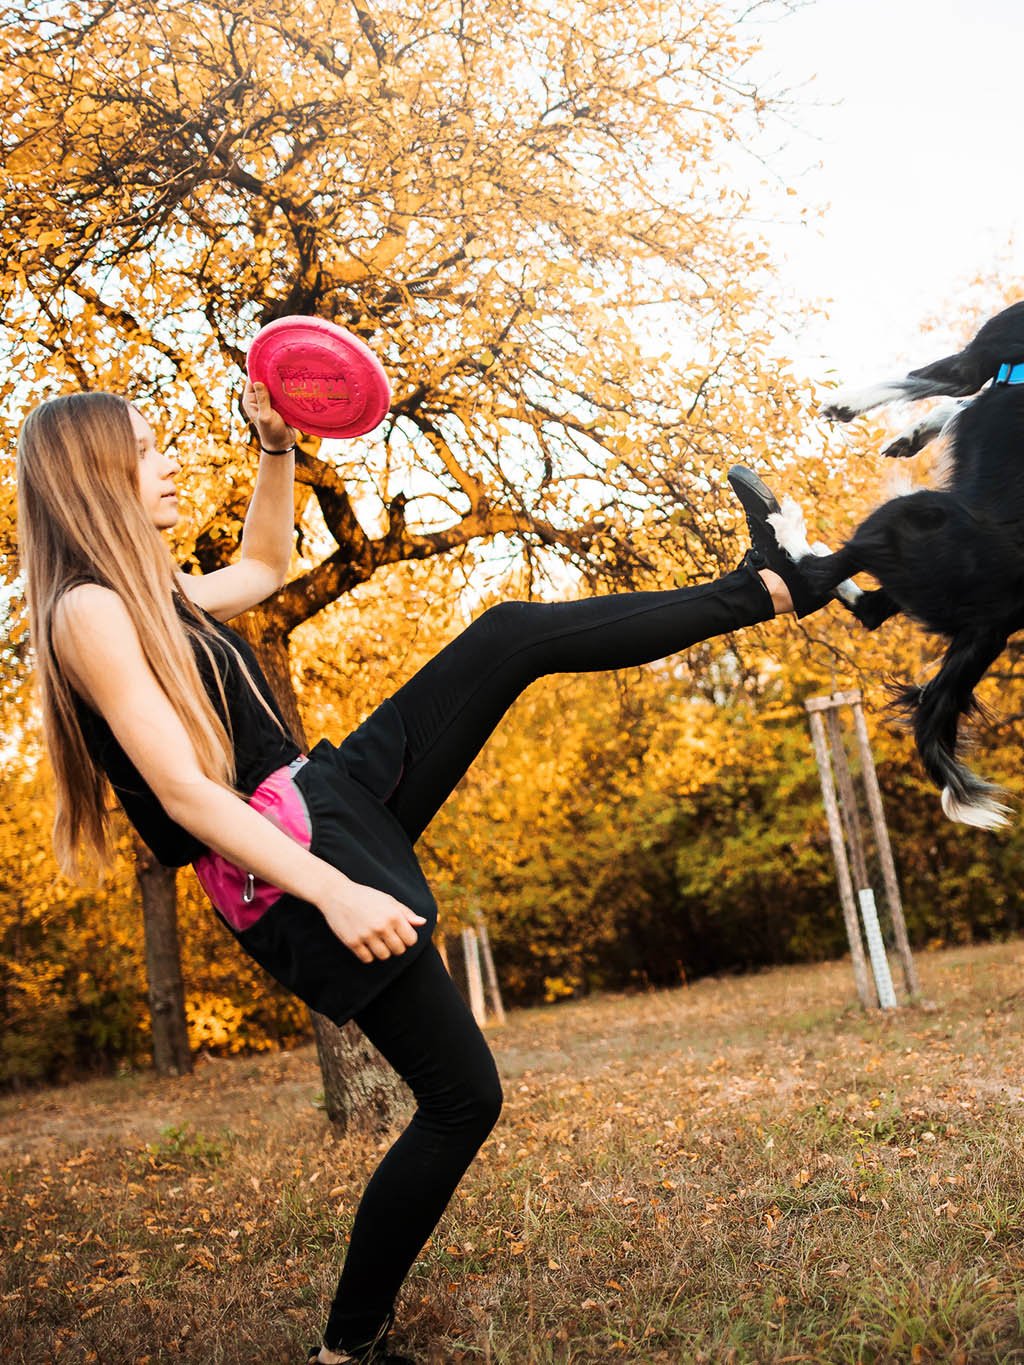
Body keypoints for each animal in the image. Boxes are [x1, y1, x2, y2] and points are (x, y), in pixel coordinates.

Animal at [775, 303, 1024, 824]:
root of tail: (995, 622)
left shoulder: (975, 360)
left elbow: (917, 381)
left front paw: (846, 405)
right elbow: (952, 403)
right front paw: (913, 434)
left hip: (910, 514)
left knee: (823, 573)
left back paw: (790, 529)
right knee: (869, 605)